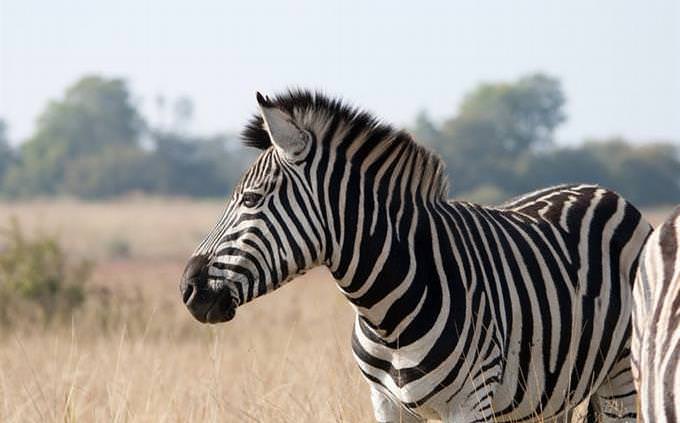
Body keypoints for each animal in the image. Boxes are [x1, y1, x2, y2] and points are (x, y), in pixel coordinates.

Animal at [178, 91, 652, 422]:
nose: (187, 289)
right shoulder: (386, 402)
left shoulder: (472, 402)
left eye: (252, 199)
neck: (387, 314)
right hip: (552, 392)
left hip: (622, 379)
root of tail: (602, 190)